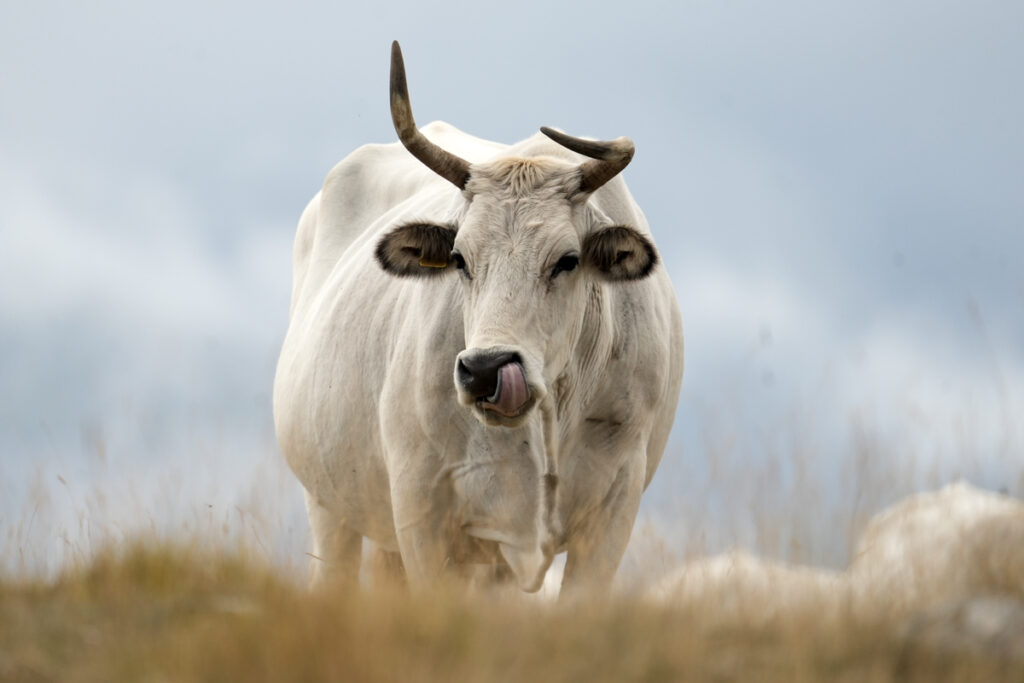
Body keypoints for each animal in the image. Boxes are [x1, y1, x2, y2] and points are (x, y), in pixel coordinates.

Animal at [276, 42, 684, 593]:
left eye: (567, 260)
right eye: (459, 259)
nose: (487, 369)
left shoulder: (611, 516)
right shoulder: (423, 515)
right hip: (328, 506)